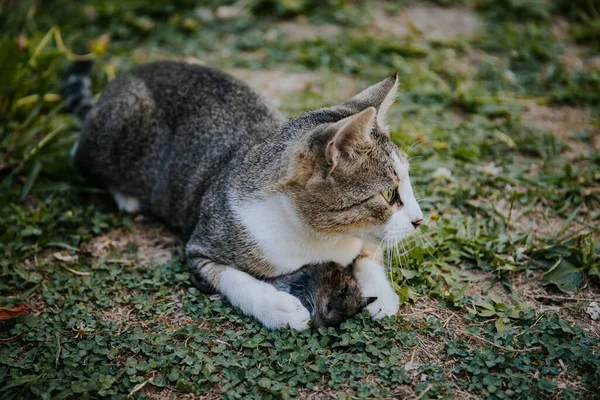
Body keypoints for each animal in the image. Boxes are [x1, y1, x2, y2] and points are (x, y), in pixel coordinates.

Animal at [67, 61, 422, 332]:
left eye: (407, 183)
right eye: (389, 193)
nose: (419, 220)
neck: (320, 237)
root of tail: (125, 76)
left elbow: (369, 251)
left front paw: (379, 291)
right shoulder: (200, 248)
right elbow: (230, 277)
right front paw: (275, 306)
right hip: (113, 134)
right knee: (78, 154)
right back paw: (126, 194)